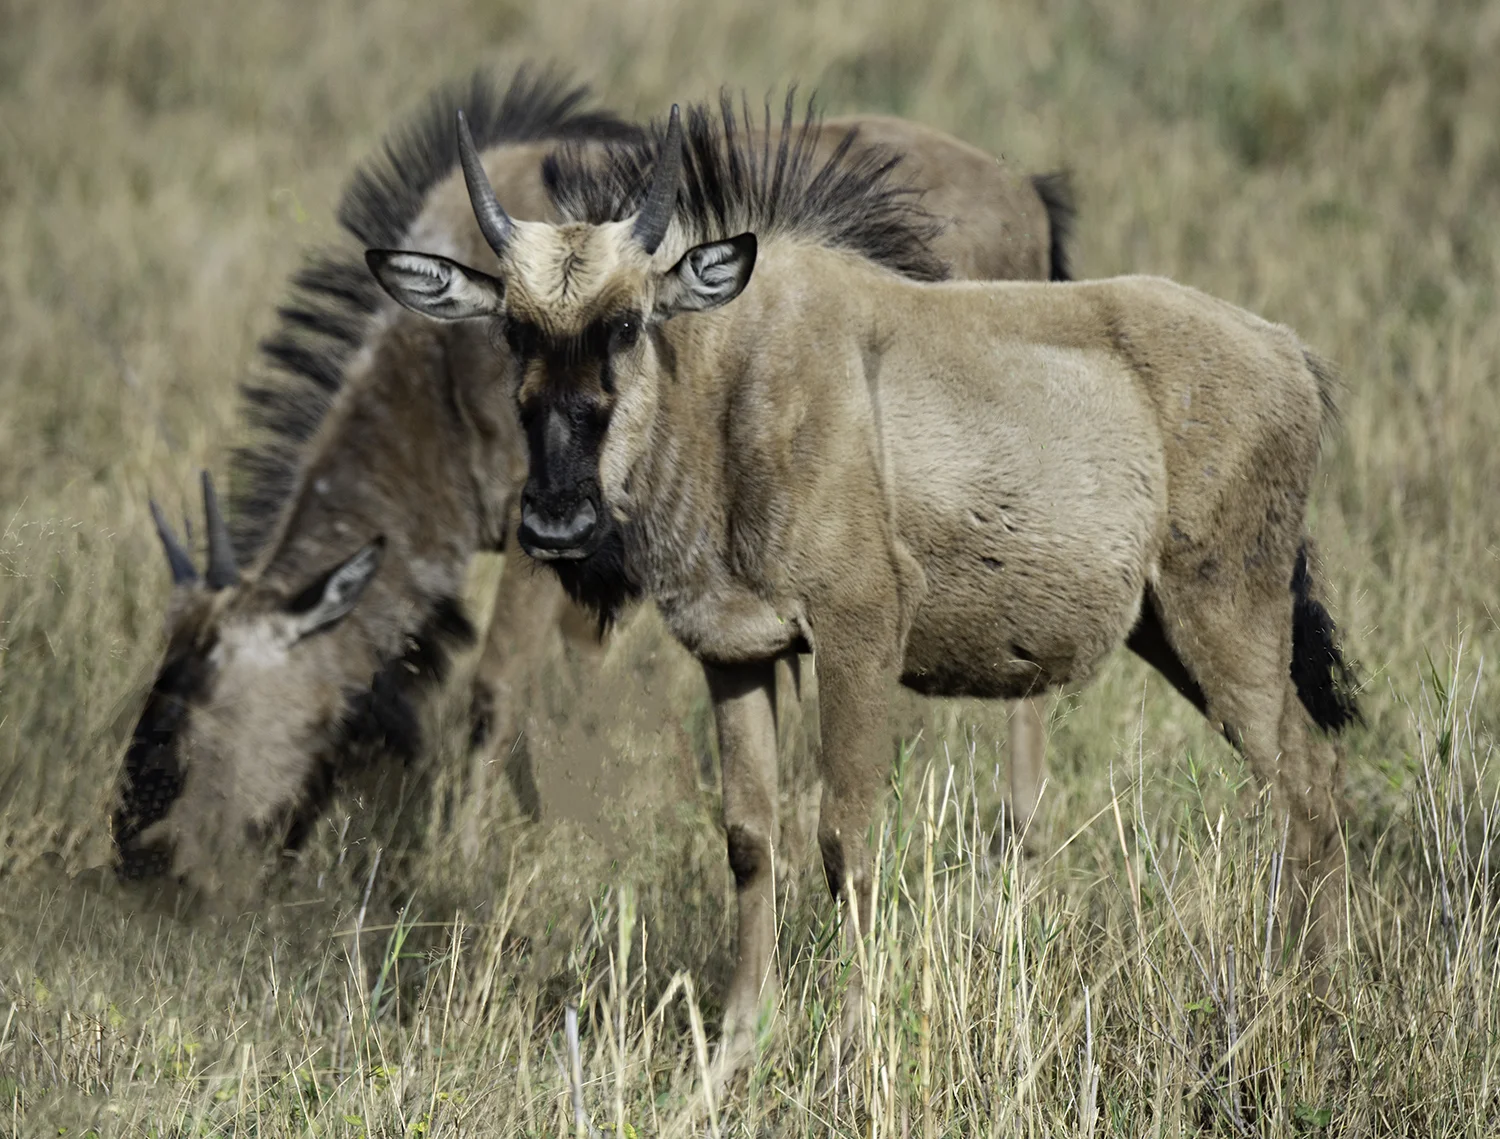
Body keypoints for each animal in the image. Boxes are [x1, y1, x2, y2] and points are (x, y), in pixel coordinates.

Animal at [114, 71, 1075, 899]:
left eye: (194, 711)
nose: (132, 855)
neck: (432, 375)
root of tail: (1024, 191)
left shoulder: (541, 534)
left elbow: (495, 690)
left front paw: (457, 862)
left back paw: (1020, 852)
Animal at [369, 94, 1360, 1071]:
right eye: (511, 328)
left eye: (627, 322)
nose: (554, 520)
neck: (728, 390)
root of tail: (1291, 355)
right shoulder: (734, 651)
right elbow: (751, 839)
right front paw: (737, 1045)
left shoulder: (858, 637)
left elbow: (845, 840)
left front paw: (852, 1043)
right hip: (1170, 632)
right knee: (1303, 787)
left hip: (1227, 622)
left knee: (1308, 784)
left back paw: (1303, 998)